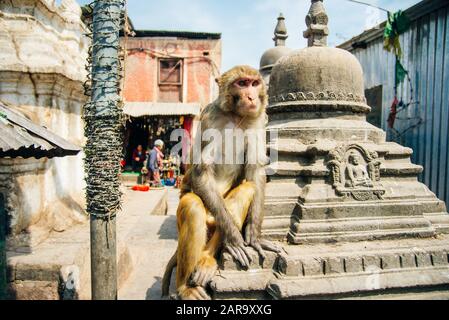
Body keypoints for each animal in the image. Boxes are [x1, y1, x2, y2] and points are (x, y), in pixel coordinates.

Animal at [161, 65, 280, 300]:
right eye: (242, 83)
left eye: (254, 83)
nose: (251, 97)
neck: (236, 115)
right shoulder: (211, 118)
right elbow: (200, 172)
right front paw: (235, 238)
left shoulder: (258, 121)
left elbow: (254, 173)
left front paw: (253, 236)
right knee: (192, 206)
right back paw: (186, 288)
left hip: (215, 220)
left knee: (247, 189)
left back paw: (208, 259)